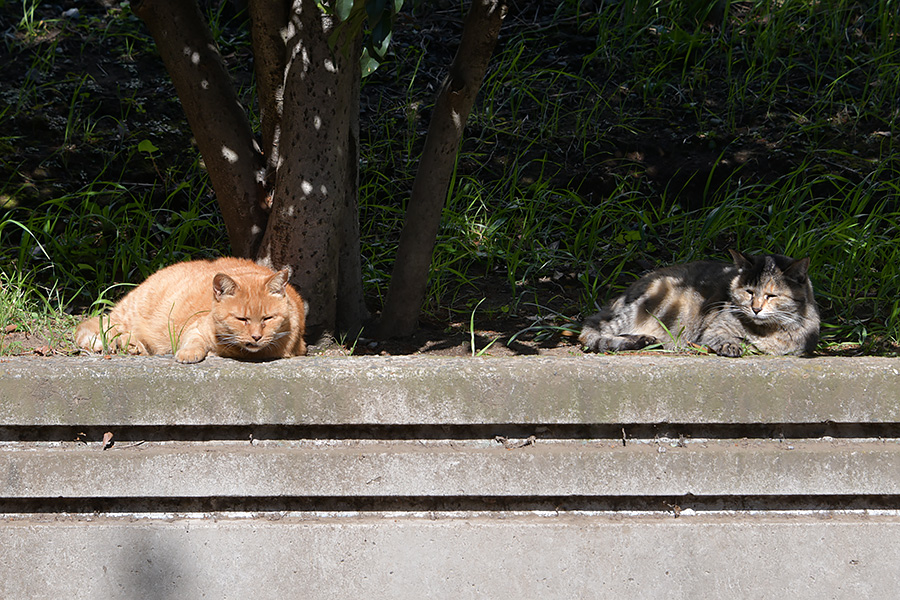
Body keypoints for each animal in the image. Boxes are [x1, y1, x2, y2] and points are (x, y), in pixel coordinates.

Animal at [74, 256, 306, 360]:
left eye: (268, 319)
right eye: (241, 319)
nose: (256, 337)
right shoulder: (195, 328)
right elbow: (194, 341)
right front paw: (188, 353)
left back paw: (131, 346)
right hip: (129, 315)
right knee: (95, 327)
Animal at [580, 250, 820, 356]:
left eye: (771, 295)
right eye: (749, 292)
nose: (756, 308)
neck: (770, 330)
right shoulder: (713, 329)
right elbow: (727, 337)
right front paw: (733, 346)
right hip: (650, 299)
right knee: (591, 335)